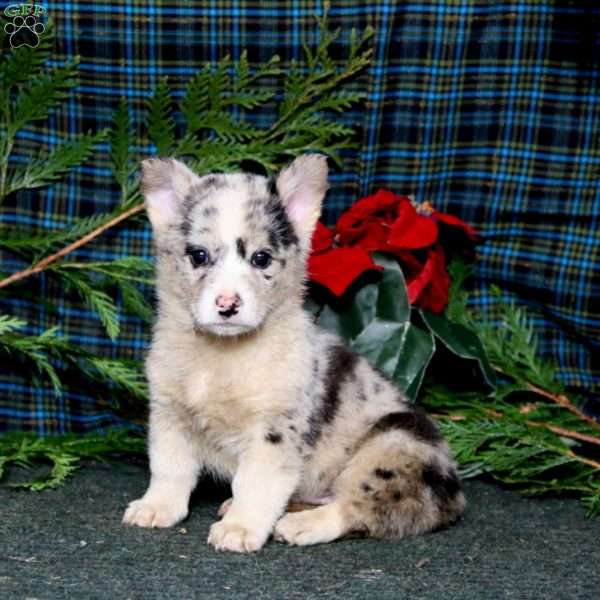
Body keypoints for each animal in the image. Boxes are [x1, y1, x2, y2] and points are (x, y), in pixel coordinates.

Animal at [123, 155, 464, 552]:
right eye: (199, 255)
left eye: (261, 258)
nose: (227, 305)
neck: (221, 354)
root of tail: (455, 497)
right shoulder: (169, 414)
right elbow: (170, 468)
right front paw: (157, 507)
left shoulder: (273, 431)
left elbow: (255, 483)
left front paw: (241, 528)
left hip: (394, 445)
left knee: (360, 508)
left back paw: (301, 524)